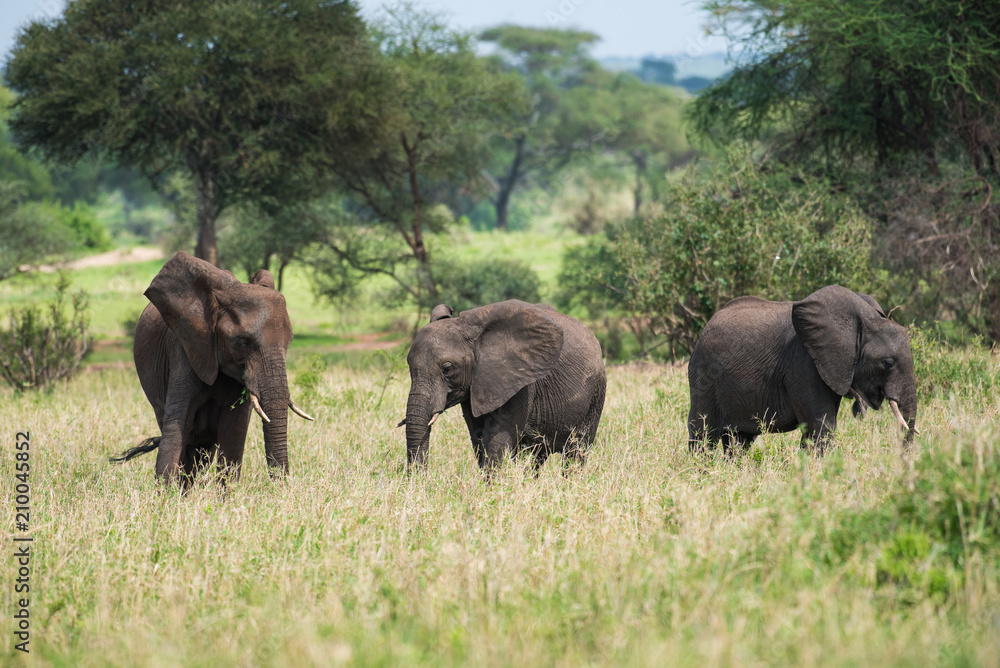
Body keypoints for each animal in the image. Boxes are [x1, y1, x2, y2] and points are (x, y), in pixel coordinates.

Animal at [112, 253, 312, 482]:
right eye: (242, 341)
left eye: (290, 341)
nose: (280, 485)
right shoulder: (186, 350)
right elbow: (176, 428)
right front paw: (166, 490)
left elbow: (234, 431)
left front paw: (227, 492)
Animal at [400, 300, 604, 472]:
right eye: (408, 366)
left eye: (447, 369)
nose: (419, 480)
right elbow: (478, 438)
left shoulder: (521, 383)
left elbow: (497, 439)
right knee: (537, 455)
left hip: (596, 392)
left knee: (576, 451)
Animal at [688, 284, 916, 452]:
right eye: (887, 363)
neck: (863, 322)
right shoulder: (804, 365)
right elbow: (820, 425)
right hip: (704, 376)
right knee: (703, 432)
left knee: (738, 440)